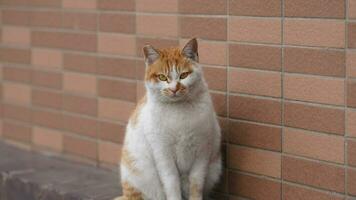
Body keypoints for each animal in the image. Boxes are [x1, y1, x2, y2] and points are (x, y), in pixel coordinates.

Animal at [114, 38, 220, 200]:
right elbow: (171, 183)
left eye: (184, 75)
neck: (178, 109)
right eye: (162, 77)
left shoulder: (202, 152)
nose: (174, 88)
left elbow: (196, 184)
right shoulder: (163, 153)